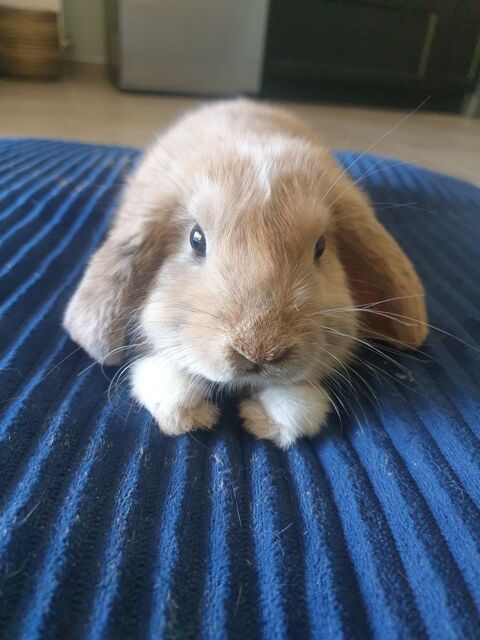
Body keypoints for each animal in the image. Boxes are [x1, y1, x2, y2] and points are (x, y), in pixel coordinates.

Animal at [63, 99, 427, 448]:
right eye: (196, 239)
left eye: (321, 247)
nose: (258, 352)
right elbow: (166, 380)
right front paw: (194, 415)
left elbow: (297, 406)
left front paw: (262, 420)